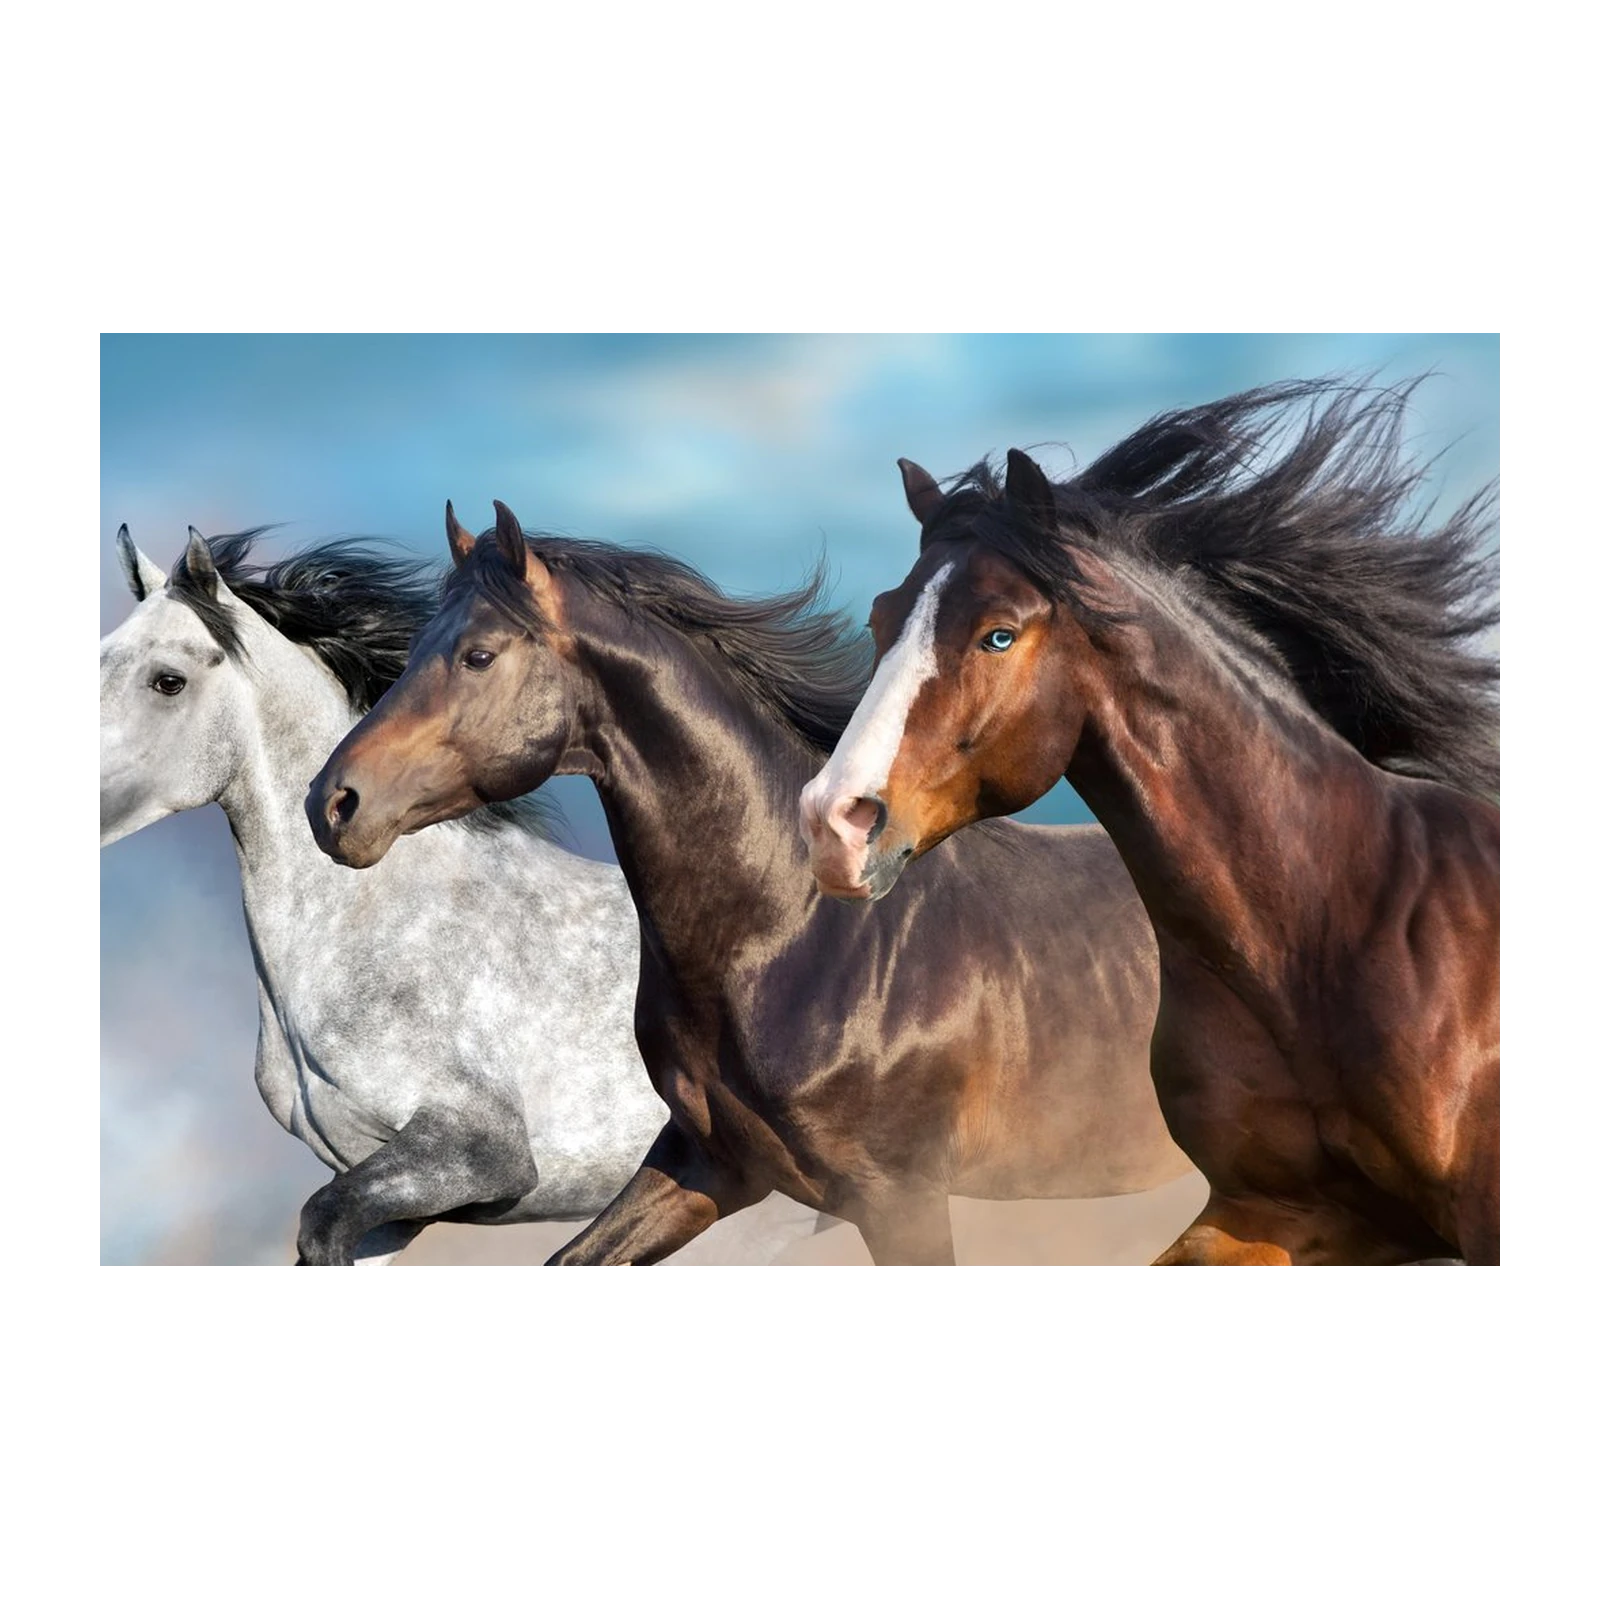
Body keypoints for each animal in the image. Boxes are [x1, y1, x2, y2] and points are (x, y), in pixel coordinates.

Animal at [303, 499, 1197, 1271]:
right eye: (414, 646)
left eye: (478, 655)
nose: (333, 804)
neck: (796, 937)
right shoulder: (712, 1162)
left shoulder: (899, 1200)